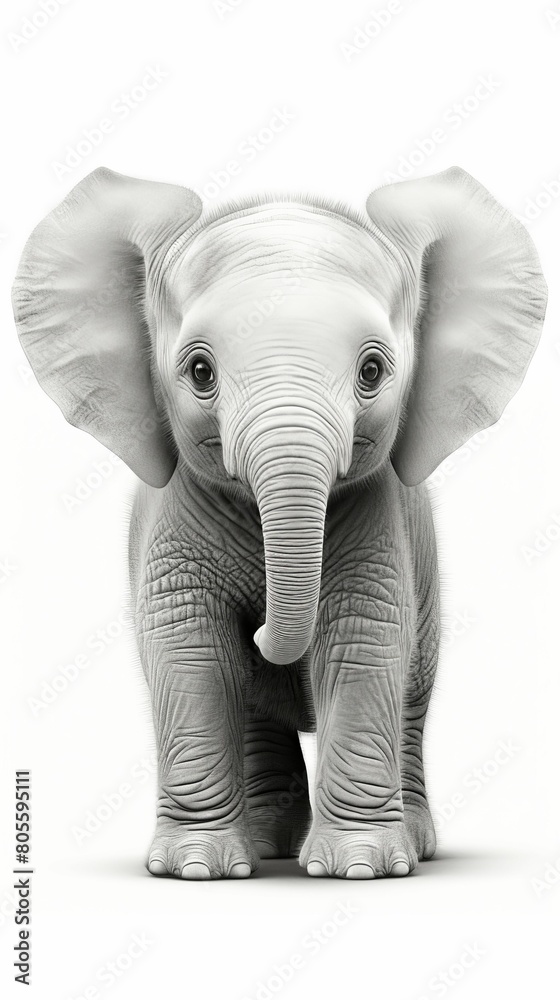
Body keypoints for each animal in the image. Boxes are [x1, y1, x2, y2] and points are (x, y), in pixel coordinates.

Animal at [13, 166, 547, 880]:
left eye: (372, 370)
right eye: (200, 371)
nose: (264, 629)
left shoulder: (376, 521)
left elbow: (363, 638)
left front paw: (359, 869)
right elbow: (190, 650)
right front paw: (193, 870)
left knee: (412, 690)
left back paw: (411, 844)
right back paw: (267, 847)